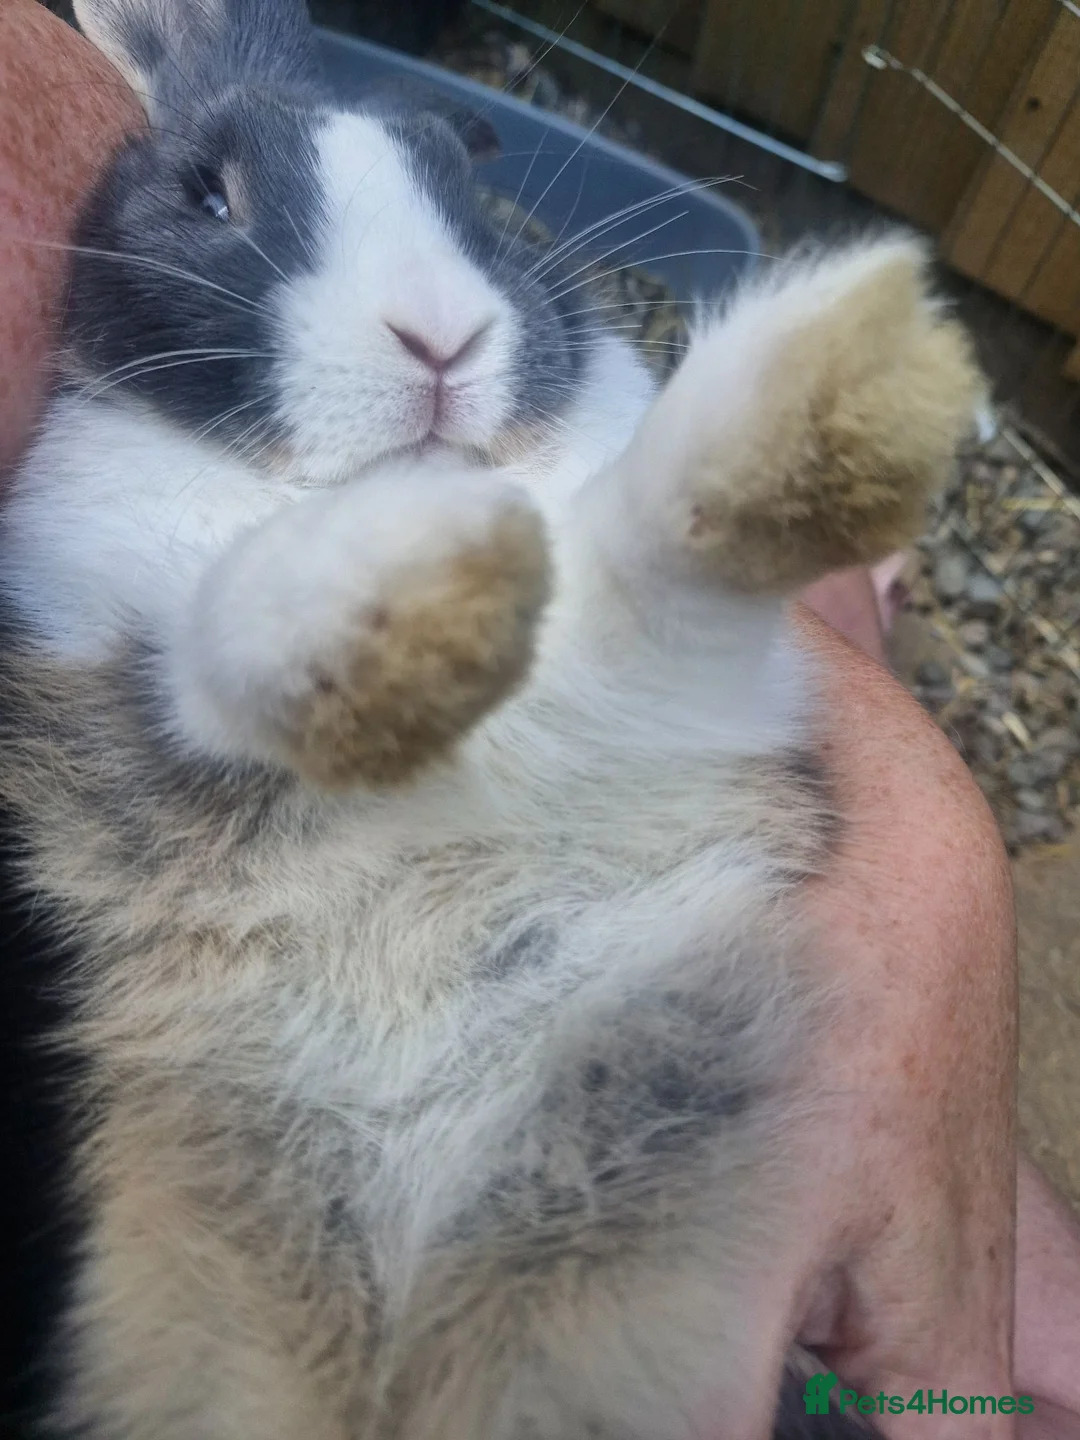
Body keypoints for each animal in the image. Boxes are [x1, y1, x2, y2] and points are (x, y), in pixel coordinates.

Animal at [0, 0, 983, 1436]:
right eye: (207, 195)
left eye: (469, 166)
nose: (438, 339)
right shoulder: (111, 658)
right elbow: (231, 632)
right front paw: (407, 595)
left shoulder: (664, 687)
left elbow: (653, 547)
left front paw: (860, 374)